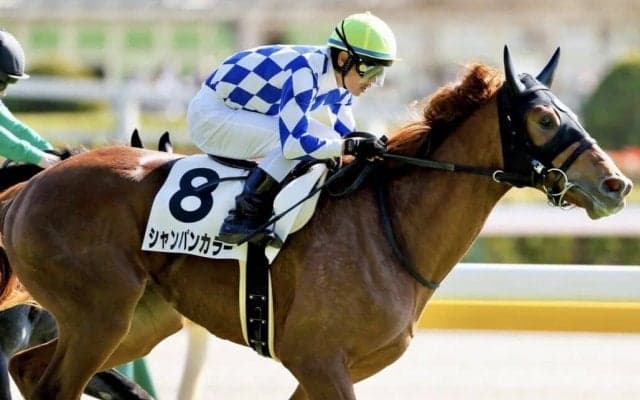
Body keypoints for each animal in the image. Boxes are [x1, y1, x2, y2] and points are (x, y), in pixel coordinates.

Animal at [0, 47, 632, 399]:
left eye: (571, 113)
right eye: (545, 118)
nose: (616, 185)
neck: (390, 230)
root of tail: (30, 186)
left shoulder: (329, 368)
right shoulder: (320, 361)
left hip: (143, 319)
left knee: (29, 370)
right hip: (99, 314)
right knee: (53, 384)